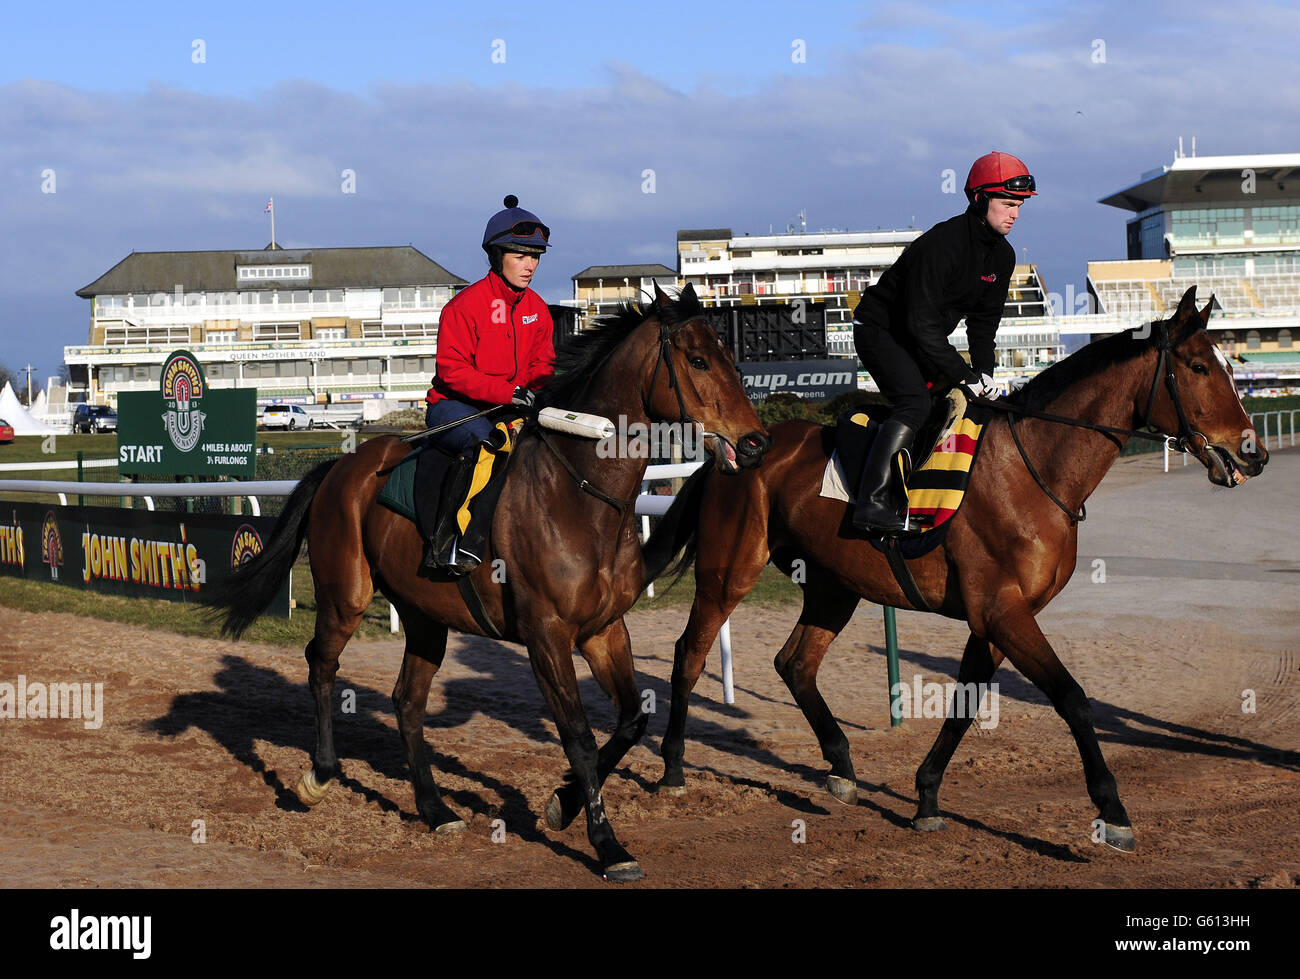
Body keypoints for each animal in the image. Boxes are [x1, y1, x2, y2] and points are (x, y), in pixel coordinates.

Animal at [206, 284, 764, 878]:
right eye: (698, 360)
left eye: (731, 359)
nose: (756, 444)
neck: (579, 493)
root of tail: (340, 466)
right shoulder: (547, 636)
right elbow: (580, 738)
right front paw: (606, 843)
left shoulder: (604, 630)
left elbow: (633, 720)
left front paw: (563, 804)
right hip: (345, 598)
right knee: (322, 664)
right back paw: (320, 773)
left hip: (425, 617)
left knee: (407, 702)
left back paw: (435, 809)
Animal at [650, 286, 1268, 852]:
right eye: (1197, 367)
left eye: (1227, 365)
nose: (1253, 453)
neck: (1034, 466)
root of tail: (740, 447)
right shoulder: (1001, 609)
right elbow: (1070, 697)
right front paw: (1112, 810)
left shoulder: (996, 616)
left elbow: (967, 701)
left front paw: (926, 796)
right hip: (730, 571)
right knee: (690, 653)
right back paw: (673, 770)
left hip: (833, 585)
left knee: (795, 663)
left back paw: (842, 769)